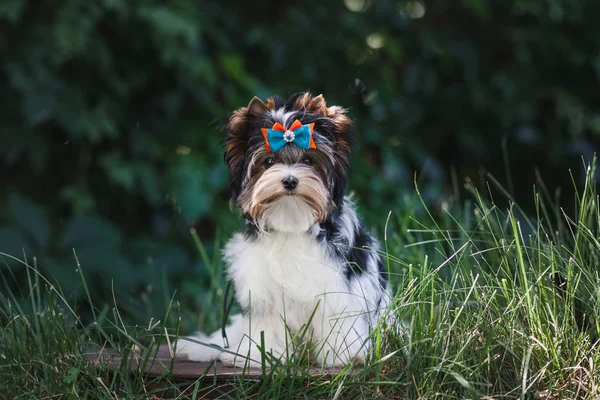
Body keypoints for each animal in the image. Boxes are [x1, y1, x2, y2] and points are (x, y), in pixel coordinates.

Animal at [177, 92, 394, 368]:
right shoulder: (264, 289)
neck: (291, 222)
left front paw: (343, 355)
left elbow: (336, 316)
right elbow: (267, 323)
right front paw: (259, 354)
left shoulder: (336, 286)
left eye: (309, 160)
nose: (290, 180)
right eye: (269, 161)